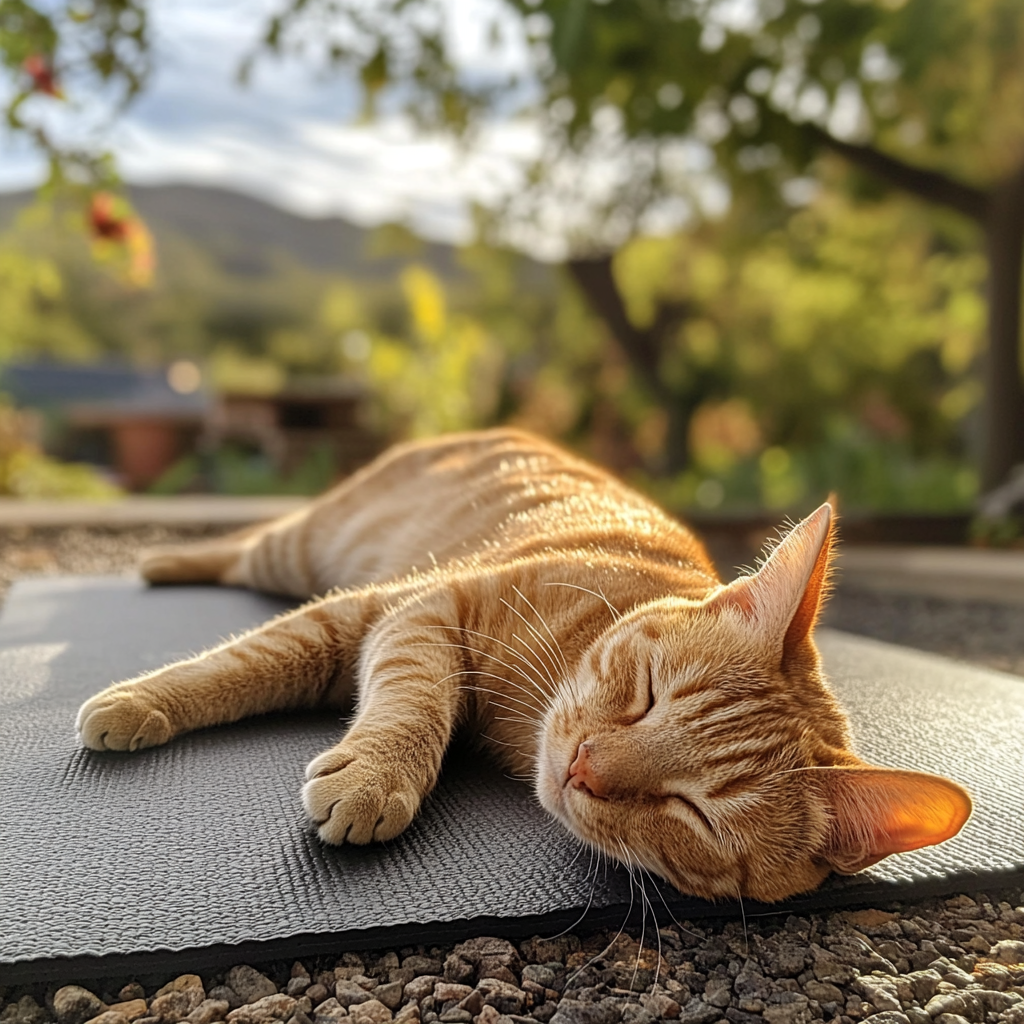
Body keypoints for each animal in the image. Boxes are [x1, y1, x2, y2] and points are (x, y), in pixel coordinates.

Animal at [75, 428, 970, 901]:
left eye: (694, 813)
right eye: (647, 696)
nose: (583, 766)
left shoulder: (400, 614)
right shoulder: (409, 609)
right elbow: (314, 673)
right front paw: (142, 701)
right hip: (304, 548)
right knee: (244, 546)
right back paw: (161, 560)